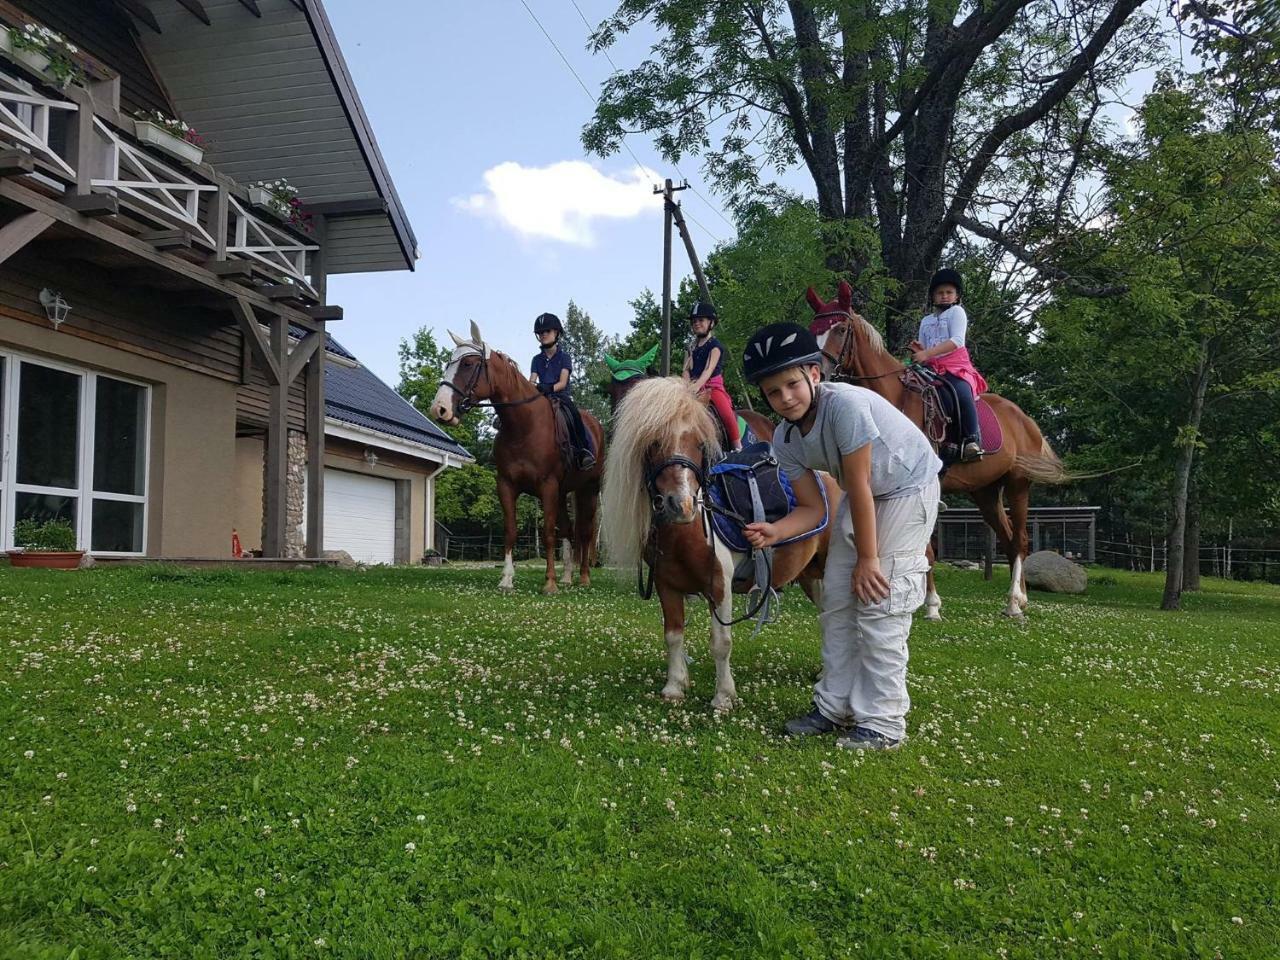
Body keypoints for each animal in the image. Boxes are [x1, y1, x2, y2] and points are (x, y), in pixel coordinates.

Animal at [430, 323, 604, 593]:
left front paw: (549, 583)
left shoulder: (547, 486)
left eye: (468, 364)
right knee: (568, 530)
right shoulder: (507, 485)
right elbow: (511, 531)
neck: (524, 425)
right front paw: (507, 579)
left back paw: (583, 577)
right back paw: (567, 576)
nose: (439, 409)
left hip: (589, 489)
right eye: (449, 363)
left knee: (585, 531)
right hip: (564, 492)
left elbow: (548, 533)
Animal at [808, 281, 1070, 619]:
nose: (818, 375)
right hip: (985, 492)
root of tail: (1026, 421)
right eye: (813, 329)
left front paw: (930, 605)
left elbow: (923, 546)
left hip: (1018, 484)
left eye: (840, 329)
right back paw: (1021, 598)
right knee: (1009, 537)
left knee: (1020, 540)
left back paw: (1014, 602)